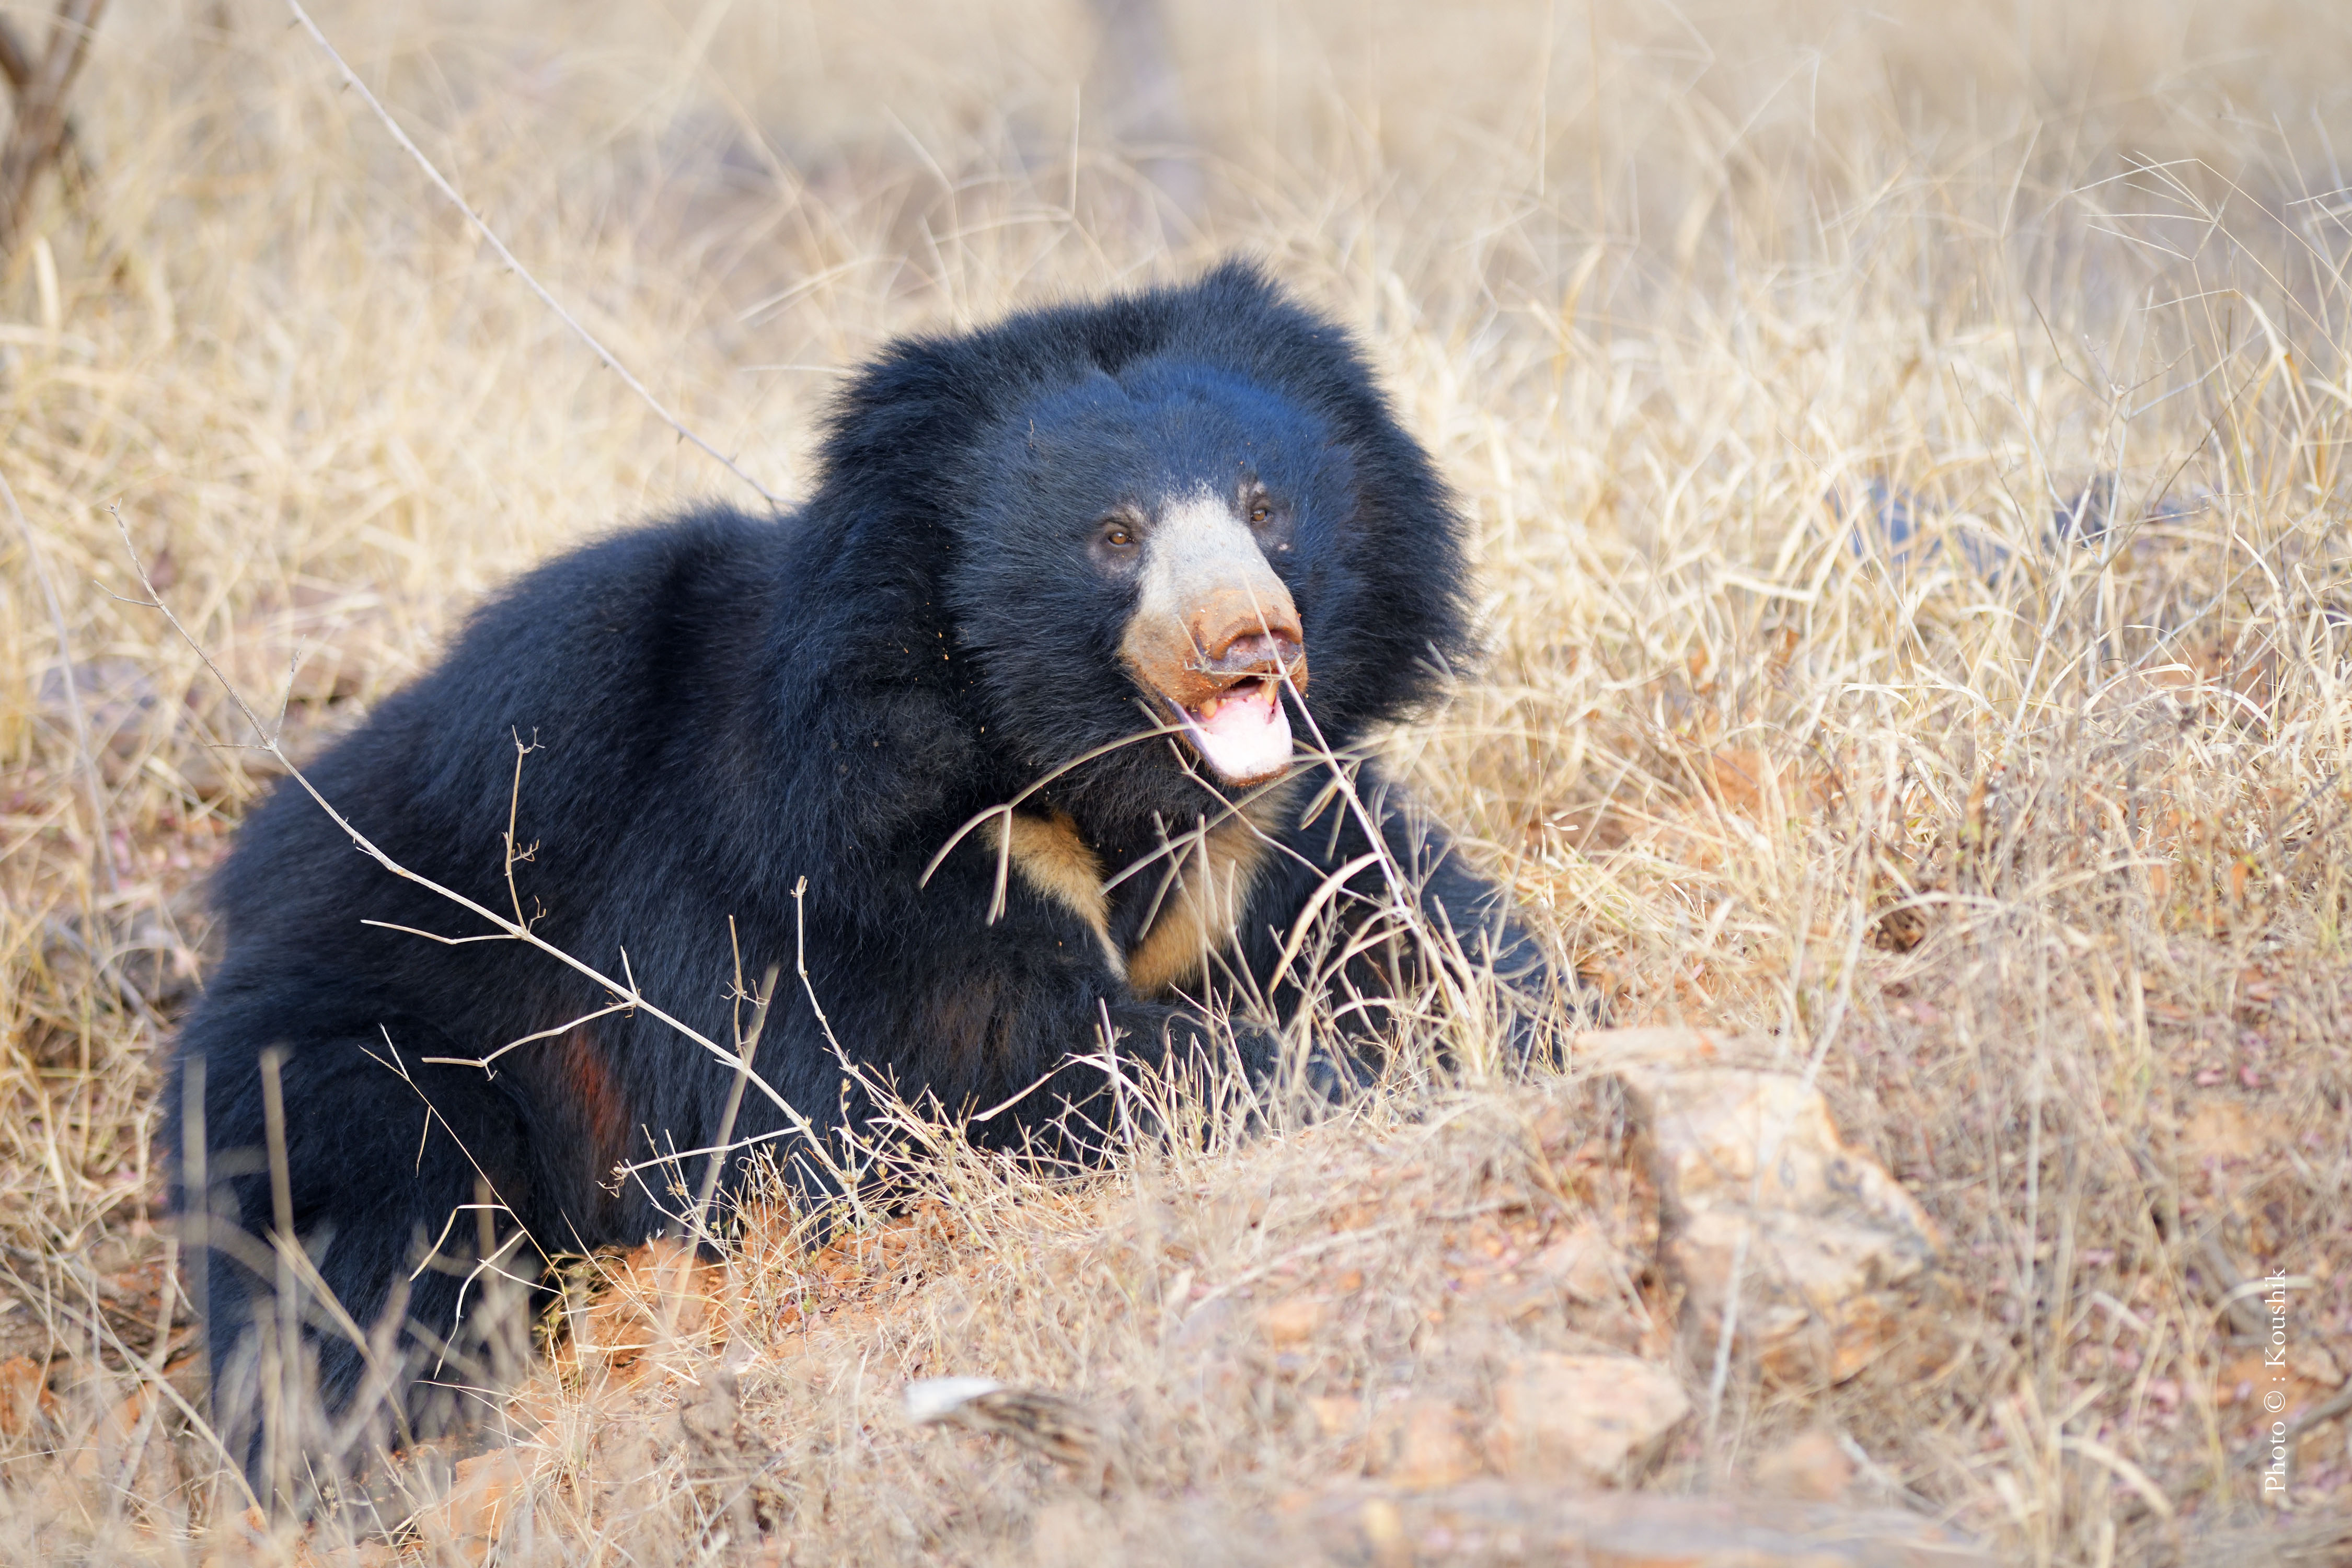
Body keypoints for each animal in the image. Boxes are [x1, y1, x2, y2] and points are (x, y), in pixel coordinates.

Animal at [164, 260, 1579, 1488]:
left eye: (1264, 504)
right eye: (1113, 537)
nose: (1249, 639)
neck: (1081, 774)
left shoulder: (1265, 831)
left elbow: (1411, 925)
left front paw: (1509, 1033)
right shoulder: (828, 867)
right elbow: (954, 1078)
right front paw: (1332, 1086)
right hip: (376, 1022)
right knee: (357, 1228)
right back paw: (364, 1445)